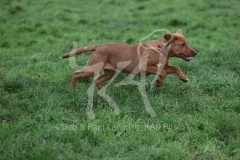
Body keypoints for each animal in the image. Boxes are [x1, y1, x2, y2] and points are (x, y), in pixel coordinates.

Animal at [62, 29, 197, 89]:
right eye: (182, 44)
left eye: (187, 43)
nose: (195, 53)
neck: (160, 49)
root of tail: (98, 46)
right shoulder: (145, 66)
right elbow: (162, 72)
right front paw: (159, 83)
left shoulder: (163, 65)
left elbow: (175, 67)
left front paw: (183, 78)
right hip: (92, 69)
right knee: (76, 73)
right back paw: (73, 89)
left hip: (109, 73)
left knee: (97, 81)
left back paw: (103, 92)